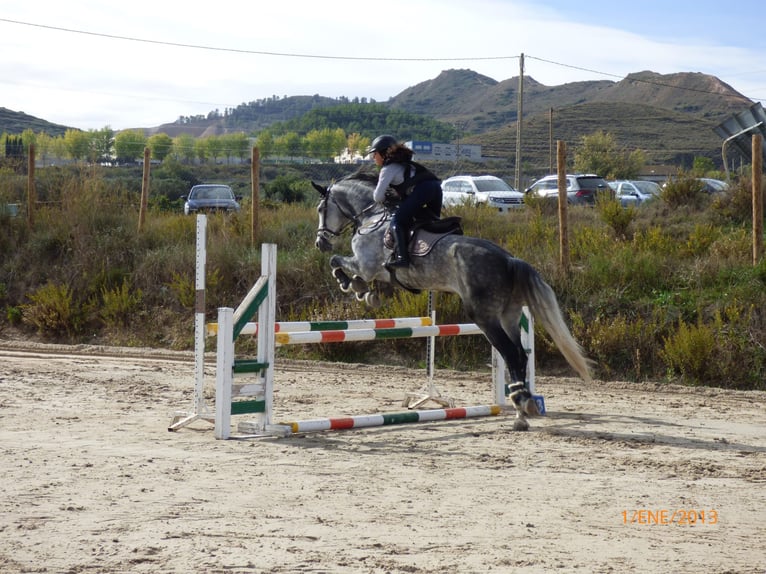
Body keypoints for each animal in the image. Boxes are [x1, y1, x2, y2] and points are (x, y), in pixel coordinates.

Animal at [312, 171, 592, 432]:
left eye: (321, 209)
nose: (320, 241)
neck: (372, 217)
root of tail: (509, 260)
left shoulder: (366, 265)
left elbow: (337, 262)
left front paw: (353, 285)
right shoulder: (376, 271)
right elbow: (359, 275)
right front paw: (367, 292)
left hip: (485, 318)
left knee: (511, 354)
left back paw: (521, 407)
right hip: (509, 315)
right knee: (521, 355)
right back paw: (521, 407)